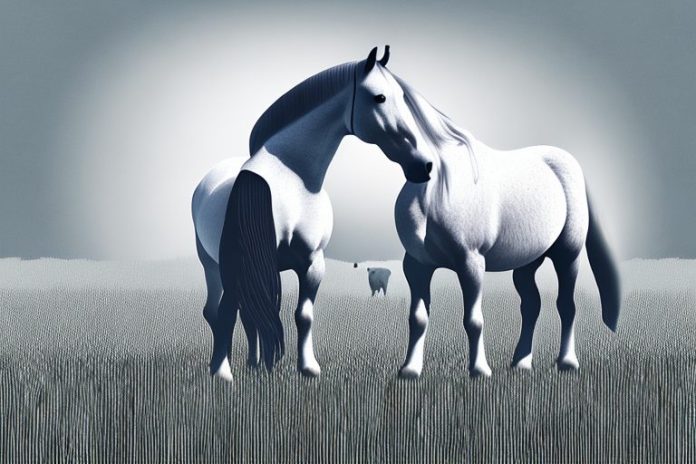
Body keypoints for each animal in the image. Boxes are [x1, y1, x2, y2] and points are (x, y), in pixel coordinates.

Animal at [191, 47, 435, 381]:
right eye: (380, 97)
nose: (424, 165)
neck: (290, 180)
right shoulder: (239, 263)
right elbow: (228, 313)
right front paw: (222, 374)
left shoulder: (311, 262)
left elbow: (303, 314)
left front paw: (308, 368)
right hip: (213, 265)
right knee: (219, 311)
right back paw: (226, 367)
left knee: (248, 314)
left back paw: (254, 362)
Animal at [391, 76, 621, 378]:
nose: (419, 166)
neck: (433, 193)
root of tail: (570, 164)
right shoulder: (416, 265)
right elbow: (417, 317)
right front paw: (409, 369)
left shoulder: (470, 262)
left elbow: (473, 319)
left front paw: (479, 370)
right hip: (528, 261)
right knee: (532, 304)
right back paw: (521, 362)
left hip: (567, 255)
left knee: (566, 306)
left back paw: (567, 362)